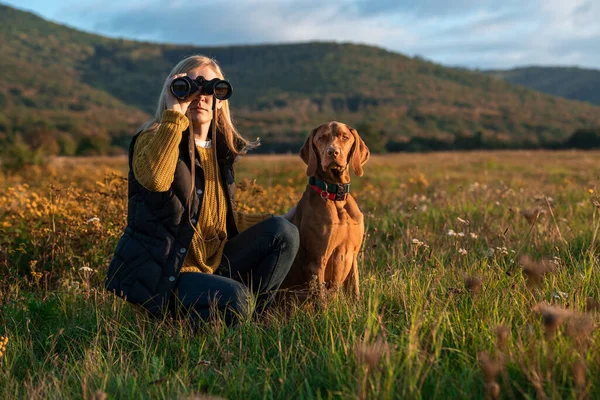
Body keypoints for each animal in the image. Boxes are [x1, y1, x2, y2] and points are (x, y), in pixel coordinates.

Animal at [282, 121, 370, 296]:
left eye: (345, 137)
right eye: (321, 138)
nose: (332, 152)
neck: (336, 196)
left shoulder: (353, 257)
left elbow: (355, 293)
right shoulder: (316, 262)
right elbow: (321, 299)